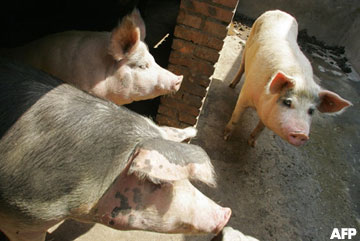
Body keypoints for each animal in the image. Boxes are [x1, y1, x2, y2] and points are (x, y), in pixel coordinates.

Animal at [224, 9, 352, 147]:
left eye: (311, 111)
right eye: (288, 102)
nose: (301, 134)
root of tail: (279, 11)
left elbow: (261, 127)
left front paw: (252, 144)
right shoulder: (245, 95)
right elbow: (236, 117)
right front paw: (226, 137)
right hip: (248, 45)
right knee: (242, 66)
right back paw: (231, 85)